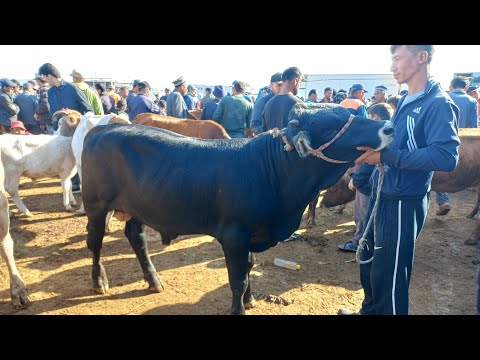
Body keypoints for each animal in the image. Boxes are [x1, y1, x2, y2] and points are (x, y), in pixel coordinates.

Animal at [81, 102, 394, 314]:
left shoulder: (251, 236)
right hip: (96, 204)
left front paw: (250, 300)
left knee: (136, 238)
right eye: (330, 127)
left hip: (138, 207)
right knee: (95, 242)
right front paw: (240, 306)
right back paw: (99, 281)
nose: (389, 128)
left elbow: (249, 266)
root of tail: (104, 128)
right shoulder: (234, 236)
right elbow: (238, 279)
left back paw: (153, 279)